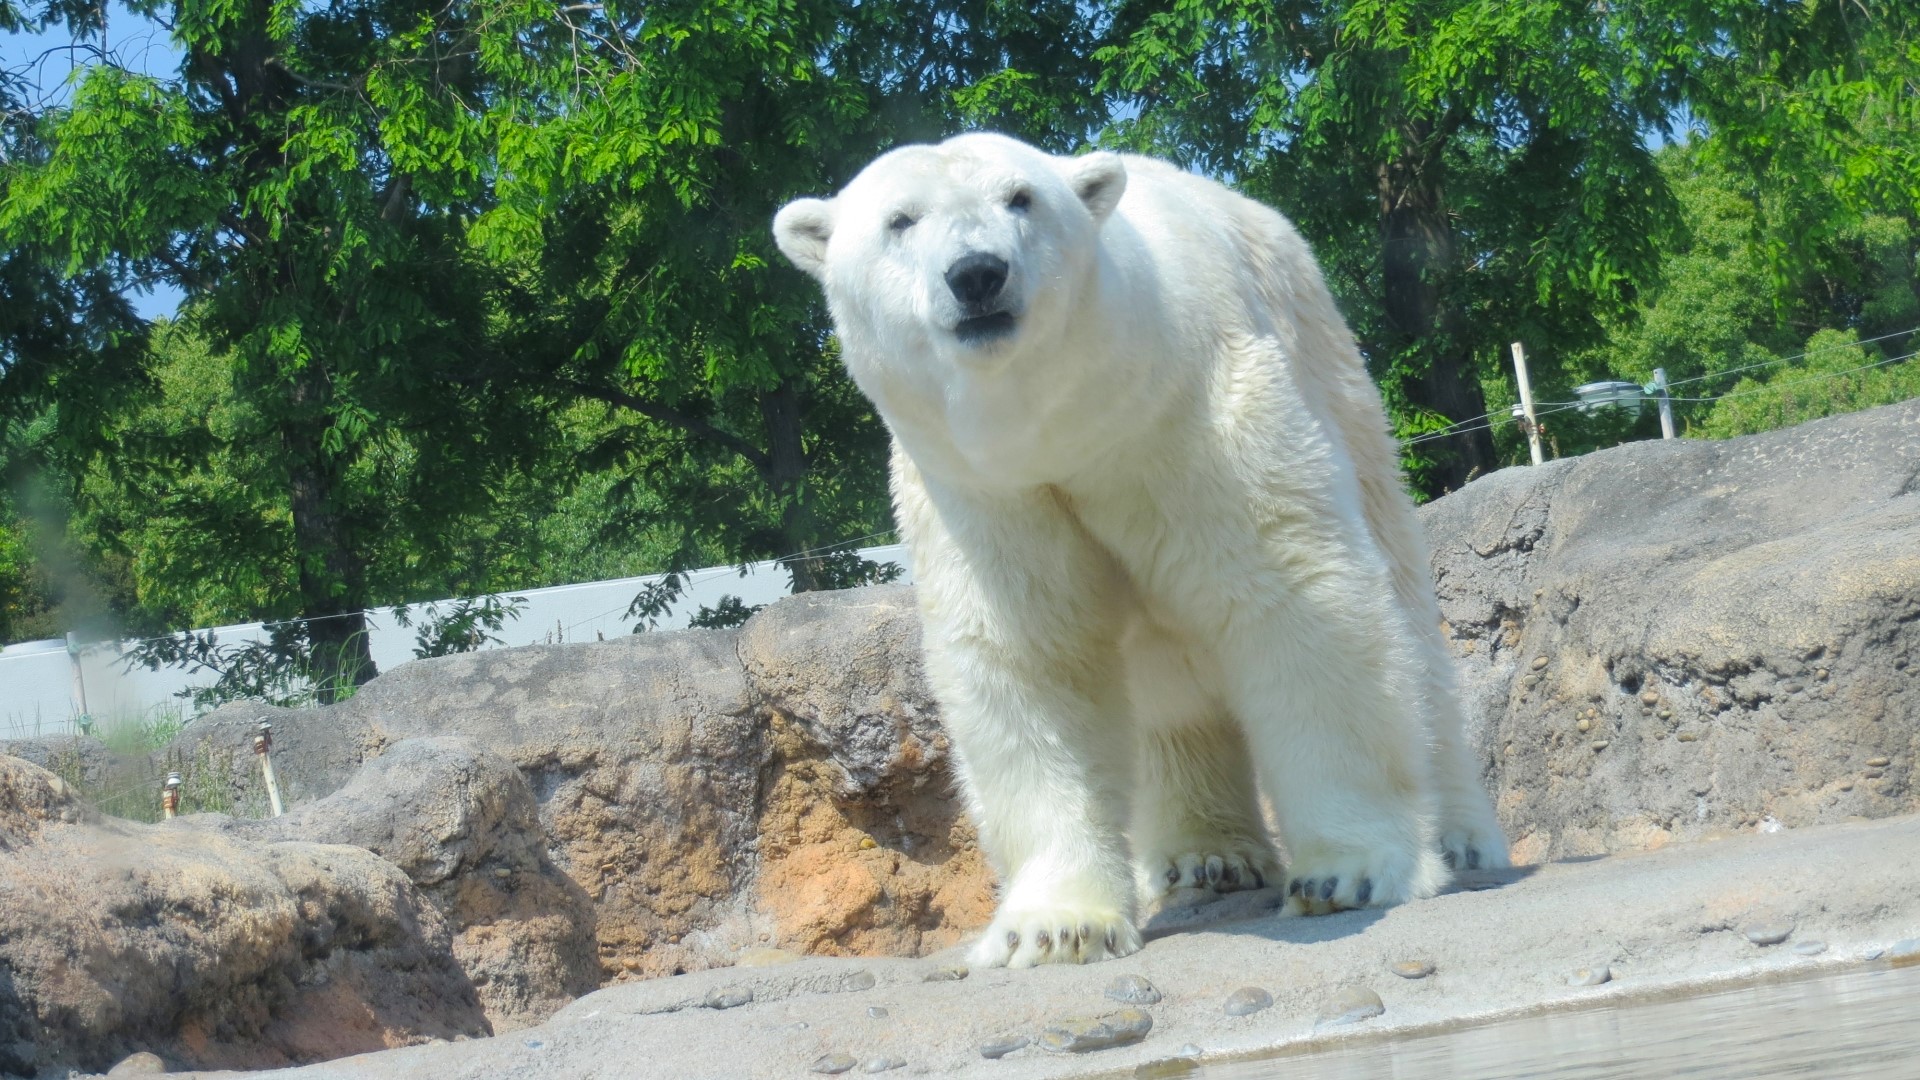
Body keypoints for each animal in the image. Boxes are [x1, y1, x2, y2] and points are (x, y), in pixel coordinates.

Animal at [771, 132, 1505, 968]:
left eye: (1021, 198)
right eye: (900, 220)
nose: (978, 273)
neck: (1072, 426)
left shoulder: (1195, 417)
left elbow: (1294, 592)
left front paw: (1346, 873)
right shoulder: (983, 492)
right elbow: (1029, 654)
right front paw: (1053, 927)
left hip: (1332, 371)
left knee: (1403, 610)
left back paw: (1461, 837)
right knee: (1170, 688)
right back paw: (1208, 856)